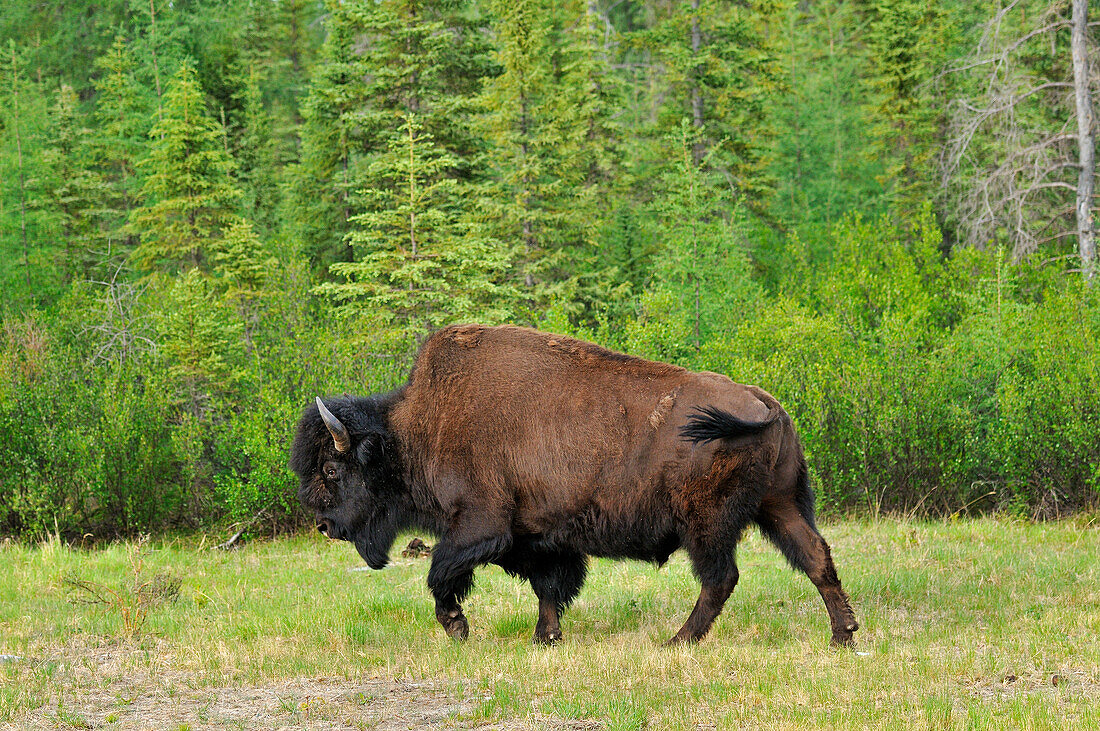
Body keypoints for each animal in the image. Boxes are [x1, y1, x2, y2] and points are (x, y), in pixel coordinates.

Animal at [292, 325, 858, 646]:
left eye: (331, 470)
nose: (323, 524)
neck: (417, 428)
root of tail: (764, 402)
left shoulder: (480, 525)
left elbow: (441, 570)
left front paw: (457, 627)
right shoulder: (543, 539)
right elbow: (550, 588)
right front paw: (545, 639)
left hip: (708, 522)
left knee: (721, 578)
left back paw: (678, 641)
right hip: (780, 504)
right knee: (815, 557)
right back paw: (843, 636)